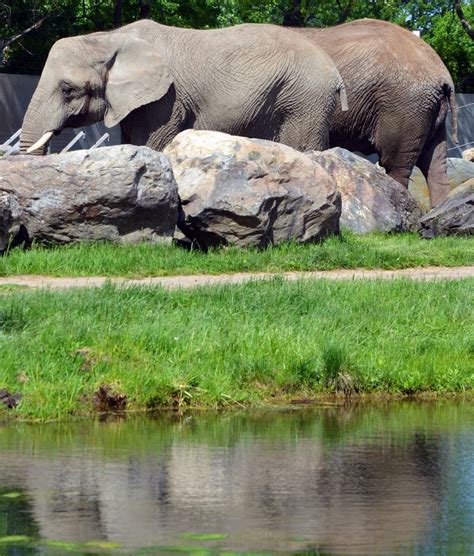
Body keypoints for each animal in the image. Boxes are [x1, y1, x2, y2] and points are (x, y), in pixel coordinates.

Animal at [21, 19, 348, 156]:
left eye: (68, 90)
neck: (109, 37)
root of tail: (334, 71)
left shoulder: (166, 99)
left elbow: (152, 143)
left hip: (304, 99)